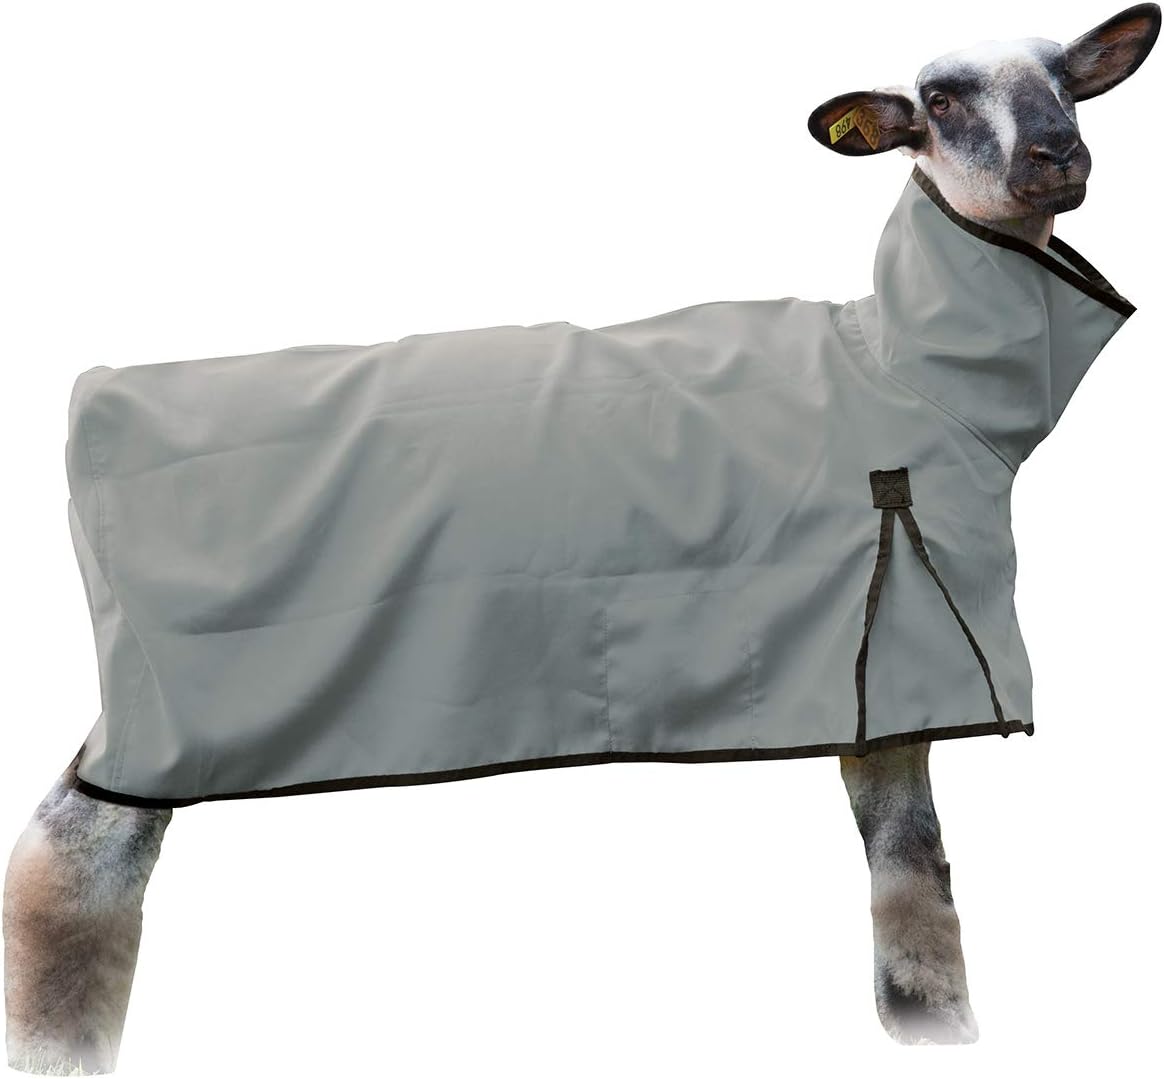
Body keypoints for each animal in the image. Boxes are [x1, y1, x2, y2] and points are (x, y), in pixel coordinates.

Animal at [4, 3, 1159, 1071]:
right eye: (943, 101)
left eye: (1067, 78)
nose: (1058, 155)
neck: (909, 372)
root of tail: (91, 396)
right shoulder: (910, 649)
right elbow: (917, 878)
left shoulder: (878, 689)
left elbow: (907, 874)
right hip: (169, 716)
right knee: (71, 854)